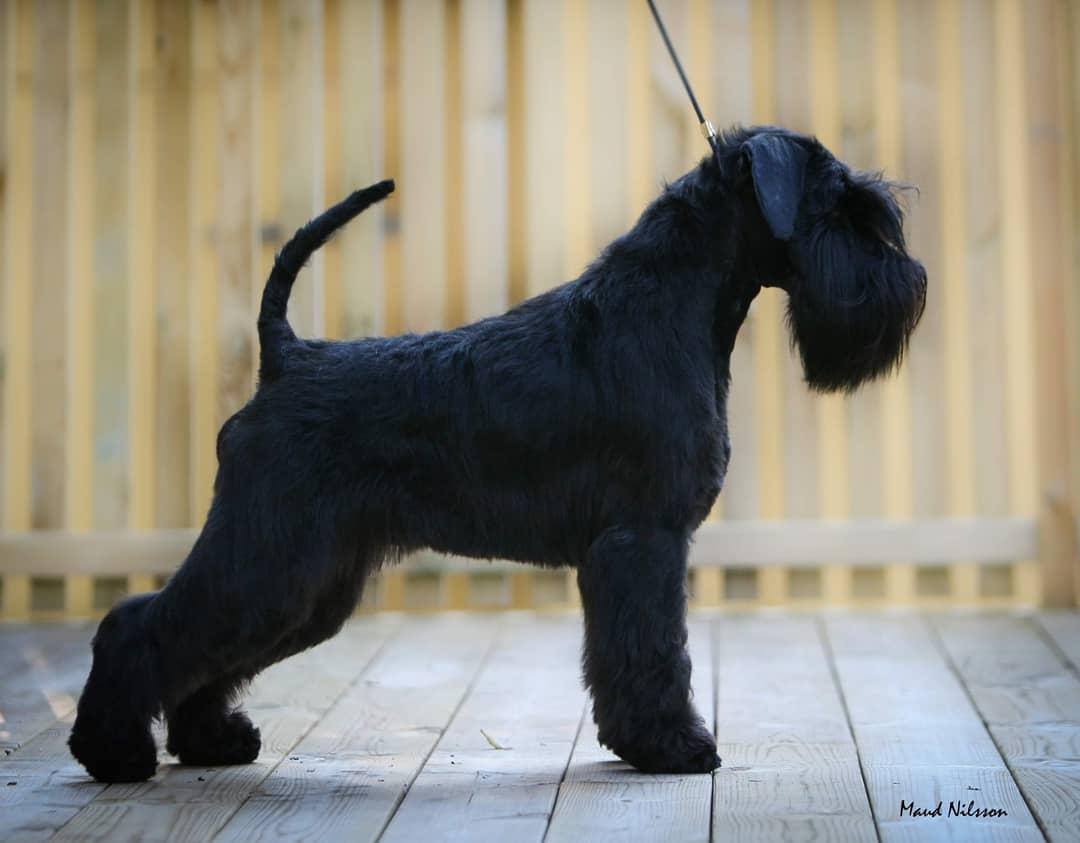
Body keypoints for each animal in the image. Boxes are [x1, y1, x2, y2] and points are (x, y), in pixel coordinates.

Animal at [70, 125, 926, 782]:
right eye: (843, 207)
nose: (910, 281)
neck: (668, 308)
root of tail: (285, 357)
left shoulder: (632, 546)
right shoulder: (643, 539)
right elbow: (654, 651)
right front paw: (672, 745)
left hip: (309, 579)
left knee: (203, 643)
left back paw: (209, 741)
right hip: (270, 557)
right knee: (141, 624)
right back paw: (112, 751)